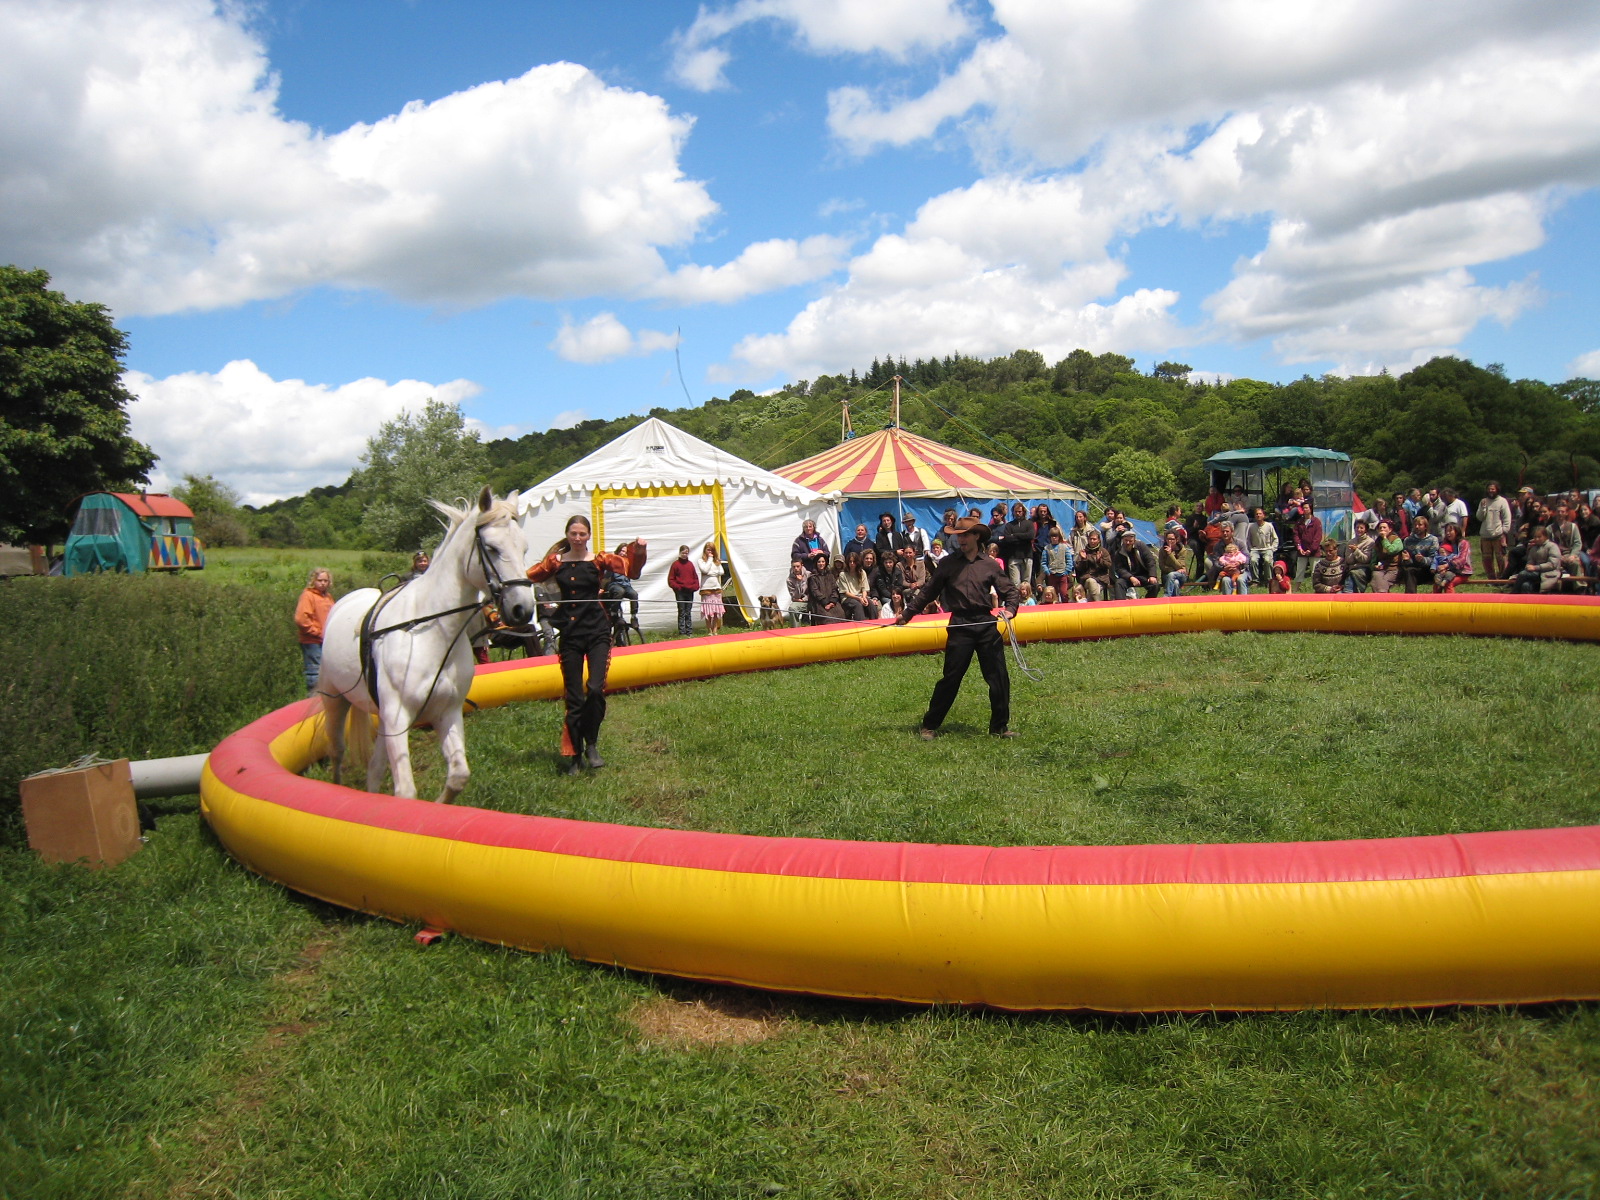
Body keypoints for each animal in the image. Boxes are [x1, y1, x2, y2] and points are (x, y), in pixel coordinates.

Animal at [317, 486, 534, 802]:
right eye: (492, 548)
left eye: (524, 548)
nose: (523, 610)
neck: (432, 633)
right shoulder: (398, 716)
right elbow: (406, 792)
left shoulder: (447, 712)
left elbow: (458, 776)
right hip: (336, 701)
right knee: (337, 753)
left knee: (374, 768)